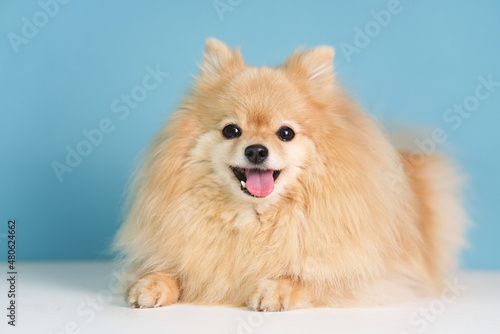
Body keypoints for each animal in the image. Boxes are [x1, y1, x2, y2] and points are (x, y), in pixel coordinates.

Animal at [111, 38, 466, 310]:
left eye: (285, 133)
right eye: (231, 130)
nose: (256, 150)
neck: (256, 218)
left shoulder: (377, 275)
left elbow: (310, 280)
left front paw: (275, 289)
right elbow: (170, 271)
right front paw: (150, 285)